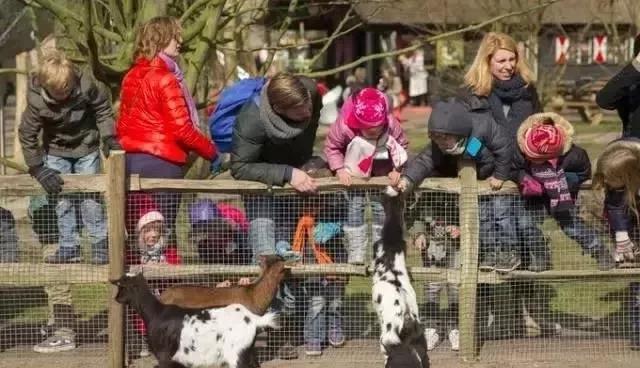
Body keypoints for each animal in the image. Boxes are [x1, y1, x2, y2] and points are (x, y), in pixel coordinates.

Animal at [112, 274, 278, 368]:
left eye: (121, 287)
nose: (116, 298)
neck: (155, 312)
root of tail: (254, 320)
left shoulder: (164, 356)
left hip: (236, 354)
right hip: (248, 350)